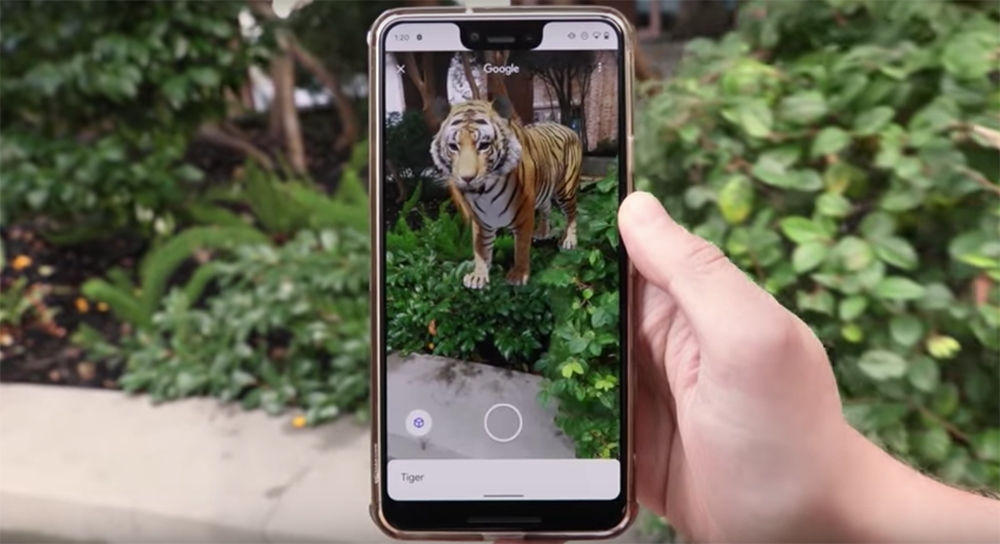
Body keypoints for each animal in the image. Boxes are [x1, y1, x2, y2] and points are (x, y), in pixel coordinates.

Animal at [428, 98, 584, 292]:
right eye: (453, 147)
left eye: (484, 146)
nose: (467, 178)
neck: (486, 194)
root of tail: (568, 128)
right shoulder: (481, 221)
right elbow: (481, 249)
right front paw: (479, 276)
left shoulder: (524, 215)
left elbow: (521, 247)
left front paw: (519, 275)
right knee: (546, 208)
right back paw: (542, 232)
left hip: (565, 189)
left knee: (571, 213)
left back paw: (569, 240)